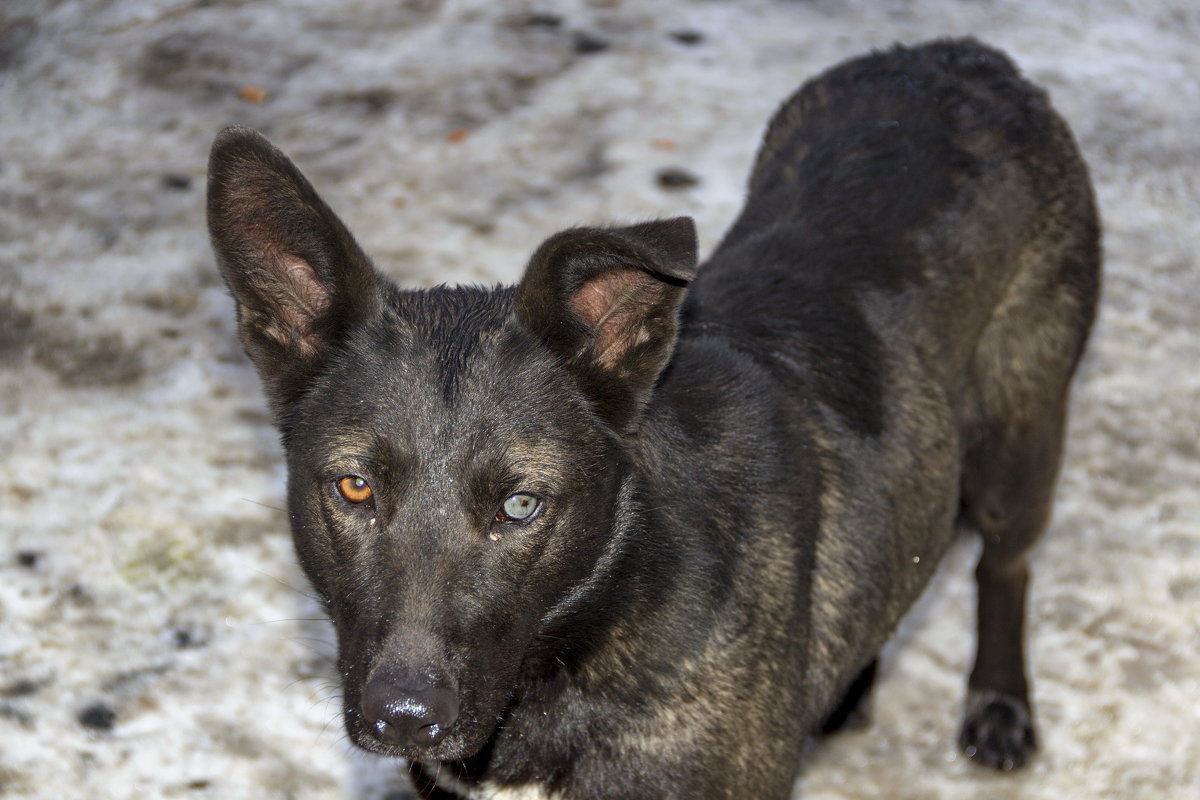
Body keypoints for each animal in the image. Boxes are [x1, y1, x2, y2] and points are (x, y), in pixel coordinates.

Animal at [206, 37, 1099, 800]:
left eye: (521, 505)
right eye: (354, 487)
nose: (404, 719)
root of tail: (958, 54)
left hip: (1018, 444)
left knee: (1003, 564)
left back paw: (1000, 704)